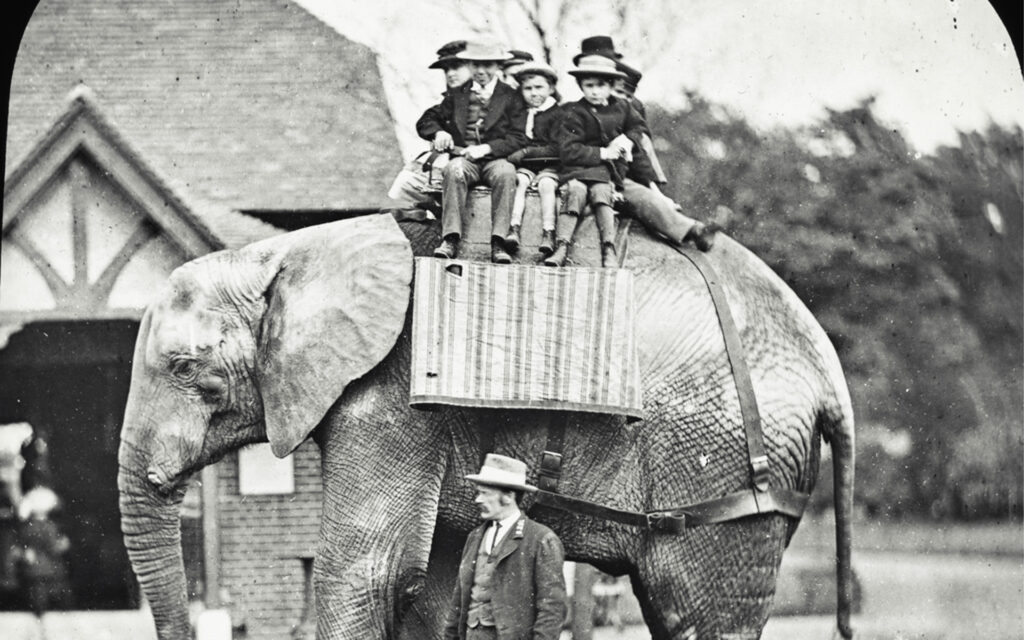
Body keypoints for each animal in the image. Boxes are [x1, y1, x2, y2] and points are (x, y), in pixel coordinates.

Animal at [116, 212, 851, 638]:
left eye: (185, 369)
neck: (285, 252)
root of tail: (827, 370)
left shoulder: (391, 397)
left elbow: (369, 573)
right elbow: (433, 584)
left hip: (722, 481)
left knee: (698, 612)